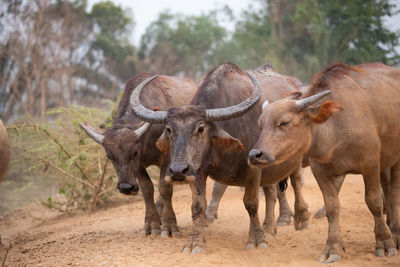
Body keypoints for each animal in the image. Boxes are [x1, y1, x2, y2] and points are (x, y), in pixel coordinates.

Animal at [80, 73, 197, 237]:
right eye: (109, 156)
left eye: (134, 152)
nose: (125, 187)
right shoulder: (138, 167)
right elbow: (147, 190)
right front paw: (152, 224)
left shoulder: (167, 160)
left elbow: (165, 189)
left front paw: (169, 226)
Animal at [128, 63, 310, 254]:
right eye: (169, 129)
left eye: (201, 128)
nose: (178, 170)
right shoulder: (197, 171)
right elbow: (198, 205)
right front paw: (195, 243)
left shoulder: (253, 169)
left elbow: (251, 203)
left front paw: (256, 240)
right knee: (271, 192)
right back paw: (269, 228)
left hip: (293, 160)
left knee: (295, 182)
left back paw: (297, 218)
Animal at [250, 62, 400, 264]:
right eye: (261, 124)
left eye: (284, 122)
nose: (255, 154)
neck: (337, 128)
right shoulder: (321, 172)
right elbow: (332, 208)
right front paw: (333, 247)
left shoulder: (370, 165)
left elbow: (374, 202)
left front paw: (384, 242)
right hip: (385, 161)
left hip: (395, 159)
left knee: (393, 193)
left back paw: (396, 233)